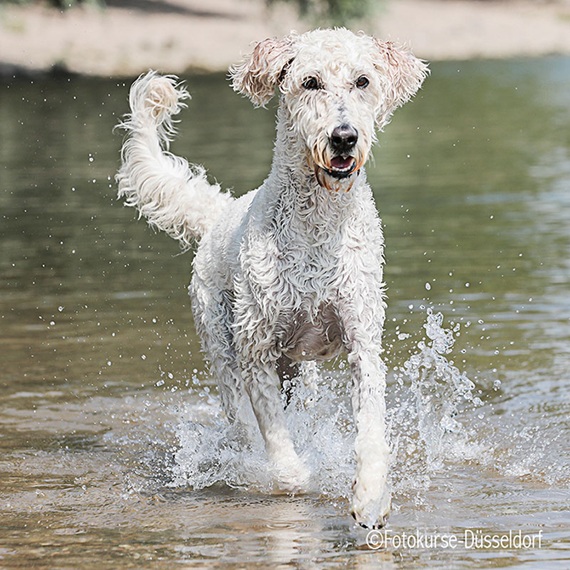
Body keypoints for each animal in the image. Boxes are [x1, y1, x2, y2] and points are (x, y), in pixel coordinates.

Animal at [116, 28, 426, 524]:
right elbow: (281, 452)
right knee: (239, 422)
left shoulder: (362, 339)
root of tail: (220, 211)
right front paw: (292, 477)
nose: (344, 137)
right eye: (310, 82)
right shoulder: (256, 352)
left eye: (363, 81)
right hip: (222, 349)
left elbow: (373, 429)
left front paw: (370, 497)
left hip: (300, 374)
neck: (318, 231)